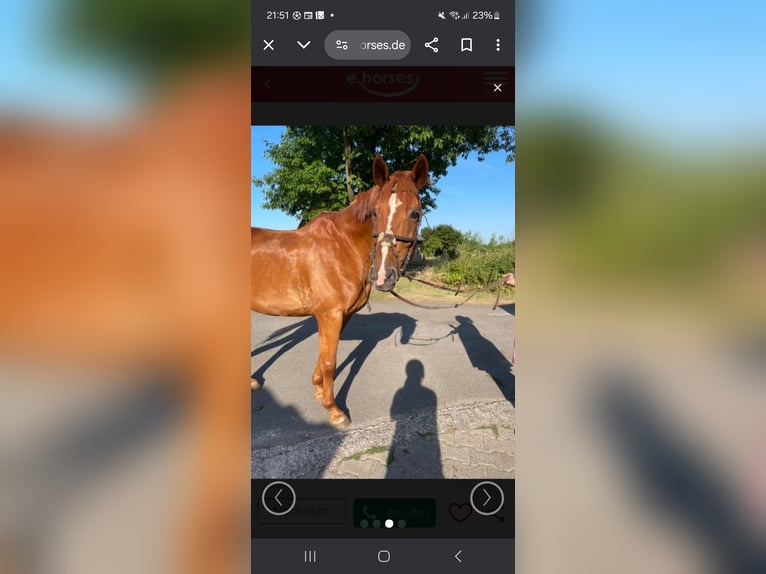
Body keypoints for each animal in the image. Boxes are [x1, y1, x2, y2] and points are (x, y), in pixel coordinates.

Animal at [251, 154, 429, 428]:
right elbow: (329, 362)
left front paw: (317, 390)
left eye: (415, 214)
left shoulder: (340, 316)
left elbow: (323, 356)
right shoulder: (330, 315)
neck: (342, 247)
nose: (382, 275)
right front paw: (334, 411)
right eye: (375, 212)